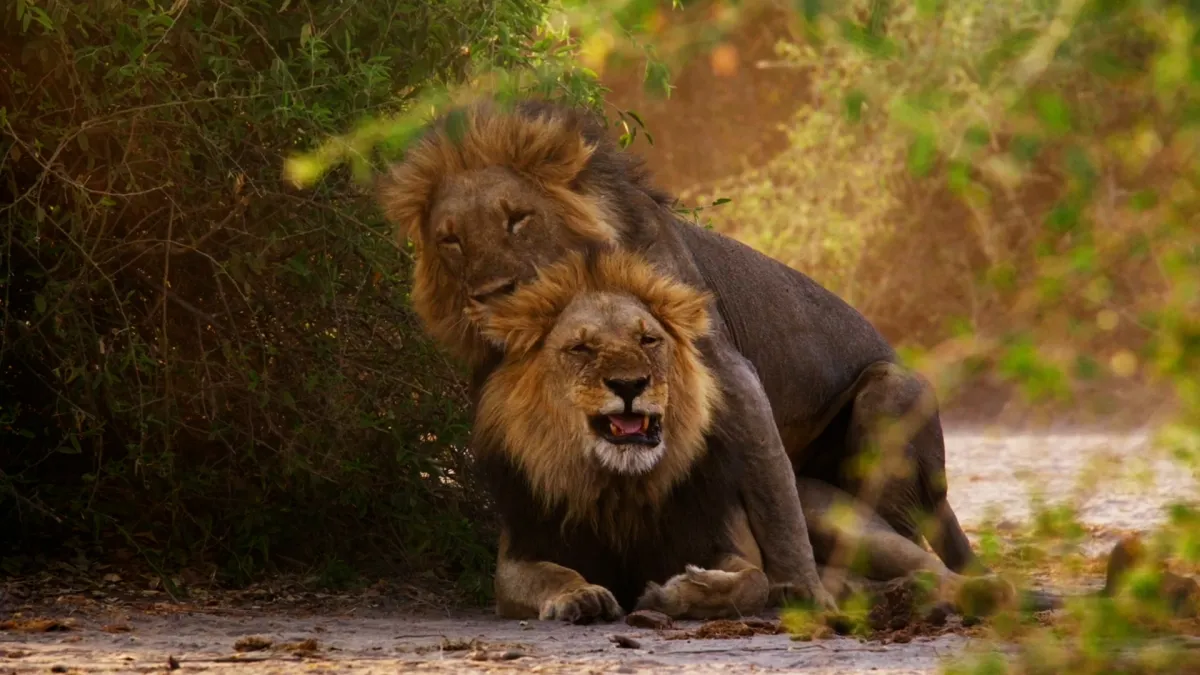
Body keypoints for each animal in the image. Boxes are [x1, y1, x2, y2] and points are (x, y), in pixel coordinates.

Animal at [377, 98, 981, 610]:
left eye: (517, 218)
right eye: (451, 240)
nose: (489, 294)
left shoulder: (729, 372)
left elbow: (773, 492)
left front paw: (799, 590)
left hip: (889, 394)